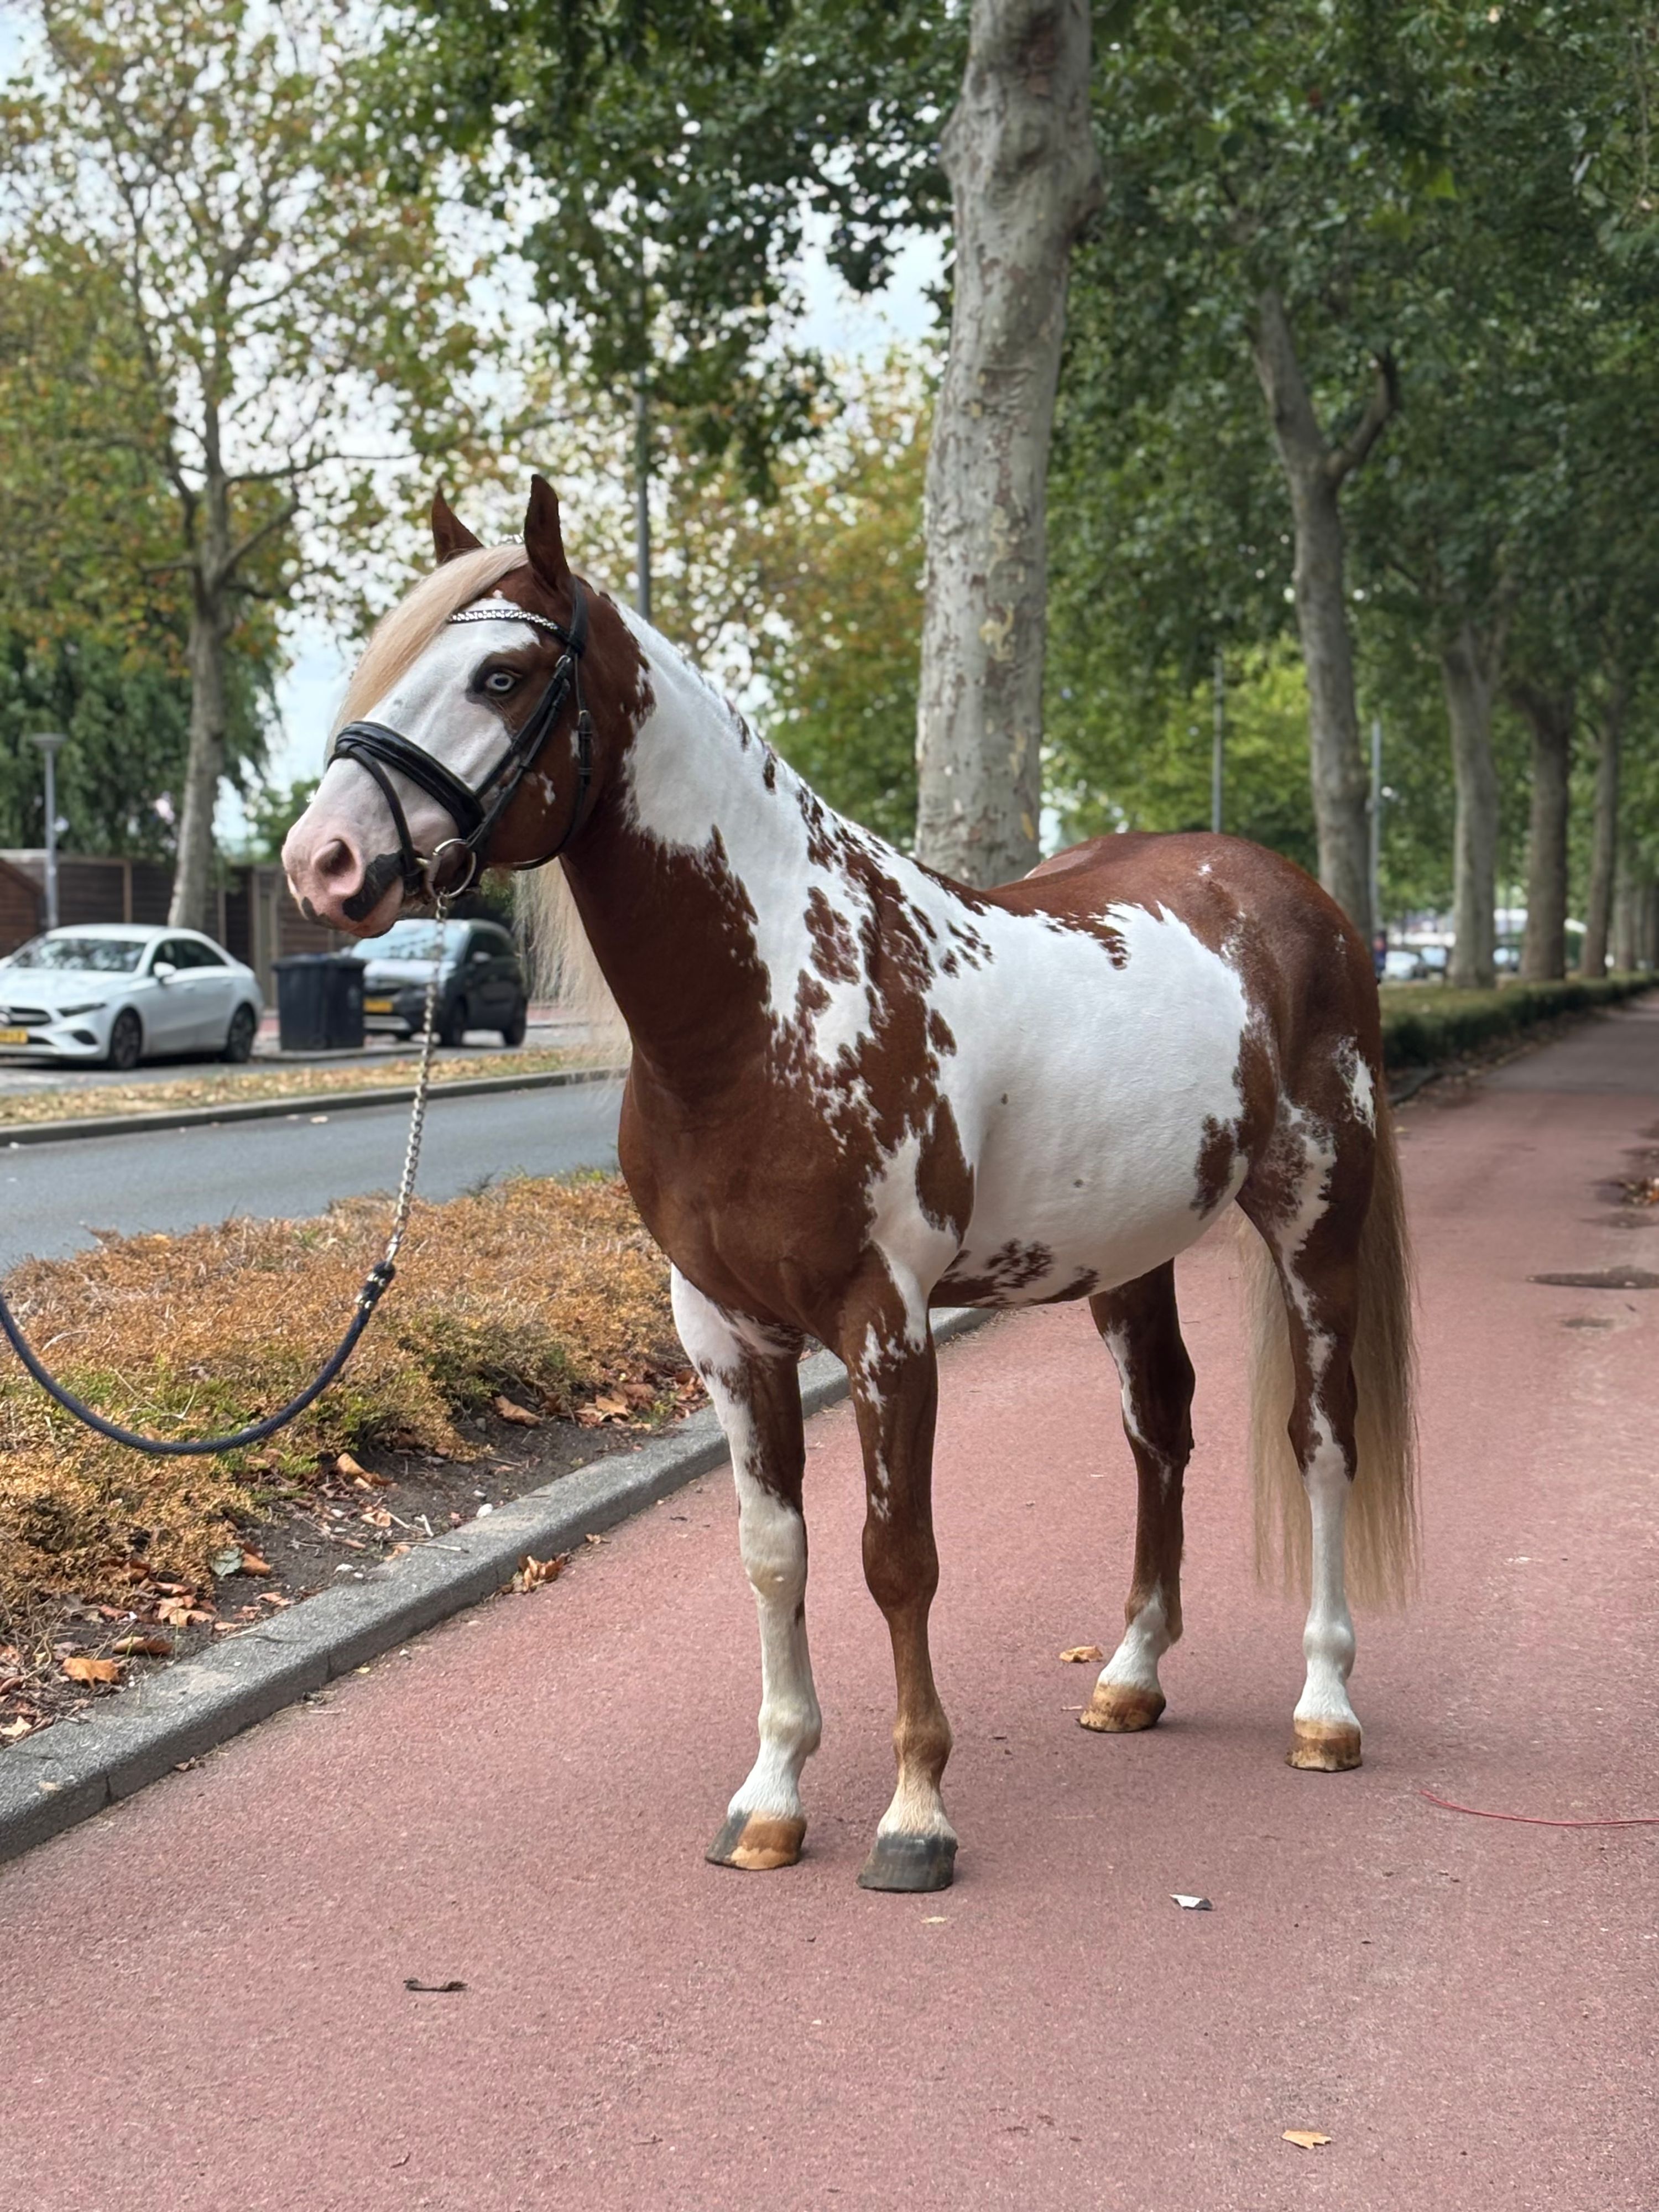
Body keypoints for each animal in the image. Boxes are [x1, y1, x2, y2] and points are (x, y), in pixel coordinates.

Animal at [283, 478, 1417, 1894]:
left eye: (500, 673)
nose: (321, 862)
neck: (775, 1004)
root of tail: (1295, 897)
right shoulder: (723, 1330)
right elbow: (776, 1557)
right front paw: (770, 1797)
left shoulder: (887, 1325)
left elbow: (896, 1557)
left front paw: (915, 1811)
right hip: (1129, 1250)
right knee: (1159, 1428)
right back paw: (1131, 1674)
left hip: (1317, 1220)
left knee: (1322, 1437)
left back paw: (1327, 1706)